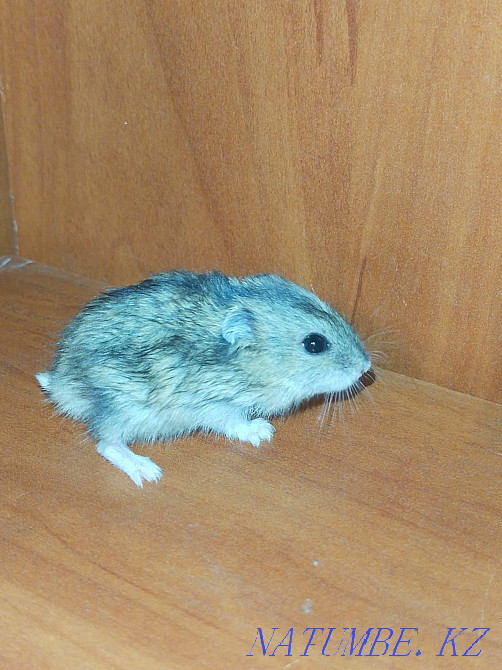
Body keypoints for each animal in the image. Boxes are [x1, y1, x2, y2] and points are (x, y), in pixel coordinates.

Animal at [37, 271, 371, 487]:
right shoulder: (215, 406)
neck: (251, 364)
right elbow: (235, 423)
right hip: (125, 409)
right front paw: (264, 432)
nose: (366, 367)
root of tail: (62, 382)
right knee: (106, 443)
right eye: (314, 344)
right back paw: (148, 472)